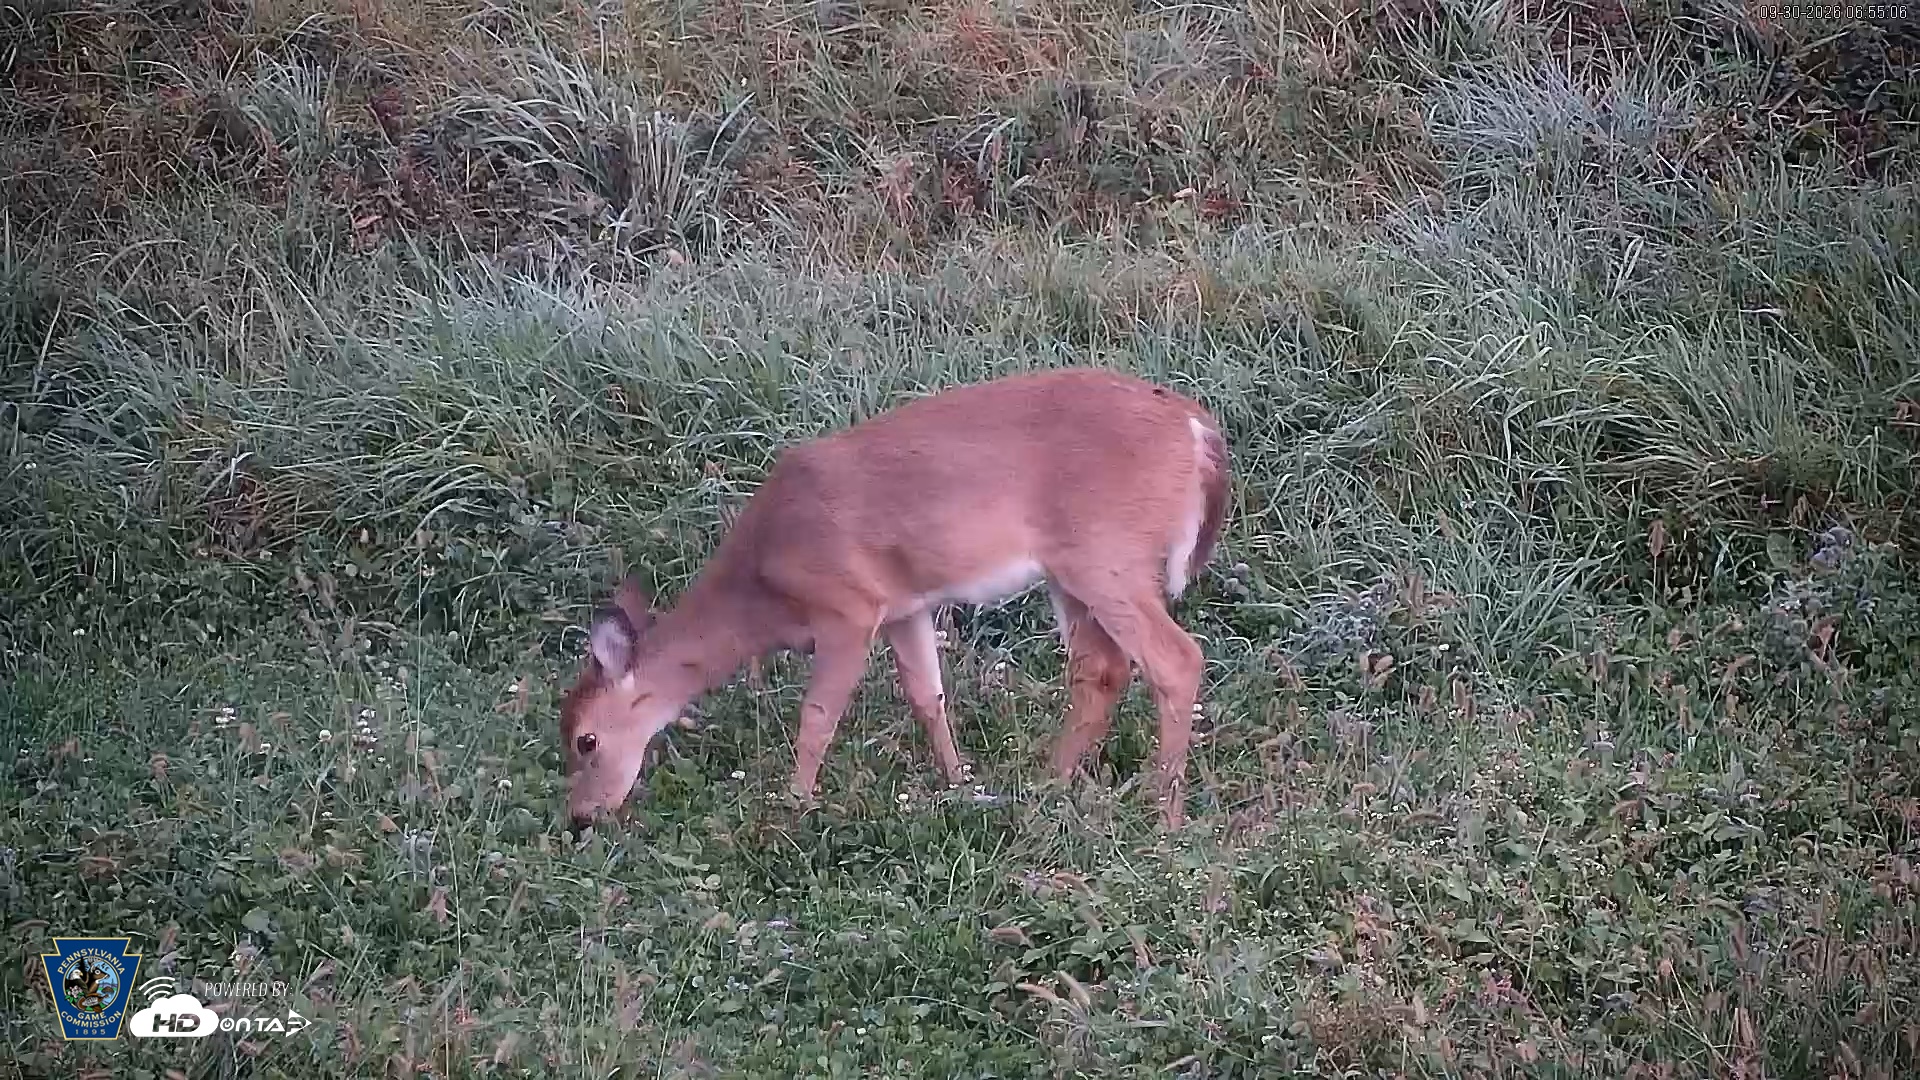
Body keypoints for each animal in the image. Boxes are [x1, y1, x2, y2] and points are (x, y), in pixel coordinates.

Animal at [558, 366, 1231, 831]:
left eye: (585, 740)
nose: (582, 817)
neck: (763, 582)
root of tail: (1196, 430)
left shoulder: (848, 606)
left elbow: (817, 716)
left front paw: (794, 806)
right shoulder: (904, 606)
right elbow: (927, 696)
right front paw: (958, 784)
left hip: (1106, 554)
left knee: (1176, 659)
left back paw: (1164, 814)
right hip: (1072, 572)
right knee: (1102, 669)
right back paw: (1049, 784)